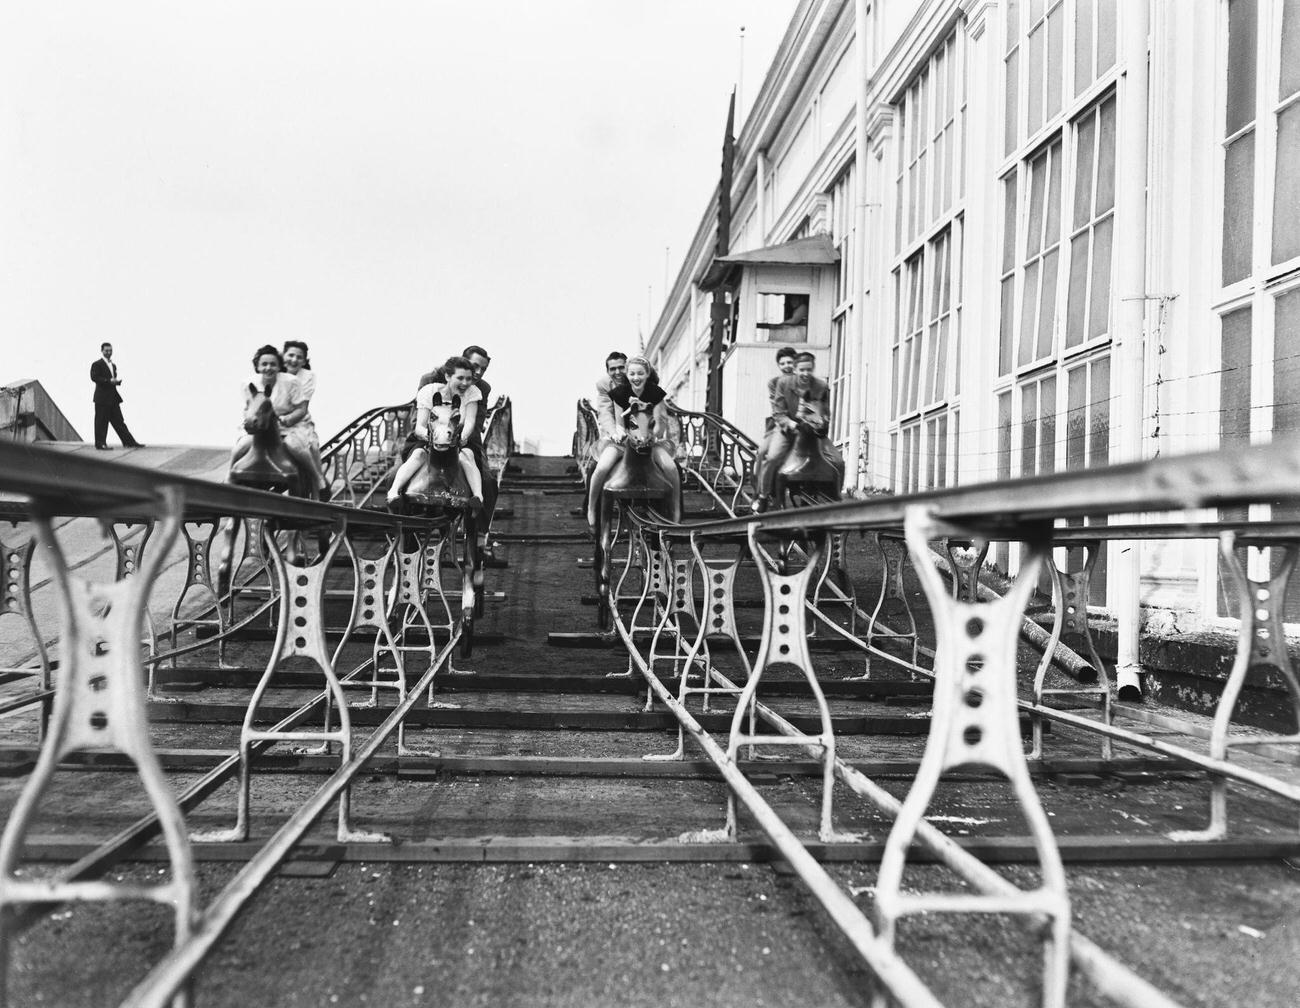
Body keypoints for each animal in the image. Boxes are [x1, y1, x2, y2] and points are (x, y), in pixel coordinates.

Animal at [592, 395, 681, 626]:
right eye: (631, 423)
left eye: (652, 422)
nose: (643, 443)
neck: (638, 478)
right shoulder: (608, 496)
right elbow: (605, 546)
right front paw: (603, 604)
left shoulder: (661, 501)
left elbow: (660, 550)